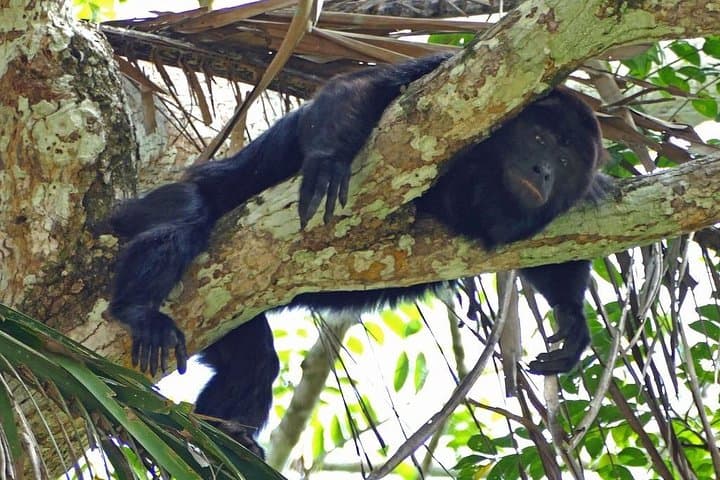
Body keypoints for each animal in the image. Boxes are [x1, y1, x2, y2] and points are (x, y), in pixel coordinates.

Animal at [108, 52, 606, 455]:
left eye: (566, 163)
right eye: (539, 139)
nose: (543, 171)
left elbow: (552, 251)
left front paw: (572, 318)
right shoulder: (446, 69)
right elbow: (362, 88)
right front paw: (329, 158)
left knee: (254, 363)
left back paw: (222, 436)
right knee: (182, 222)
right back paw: (138, 310)